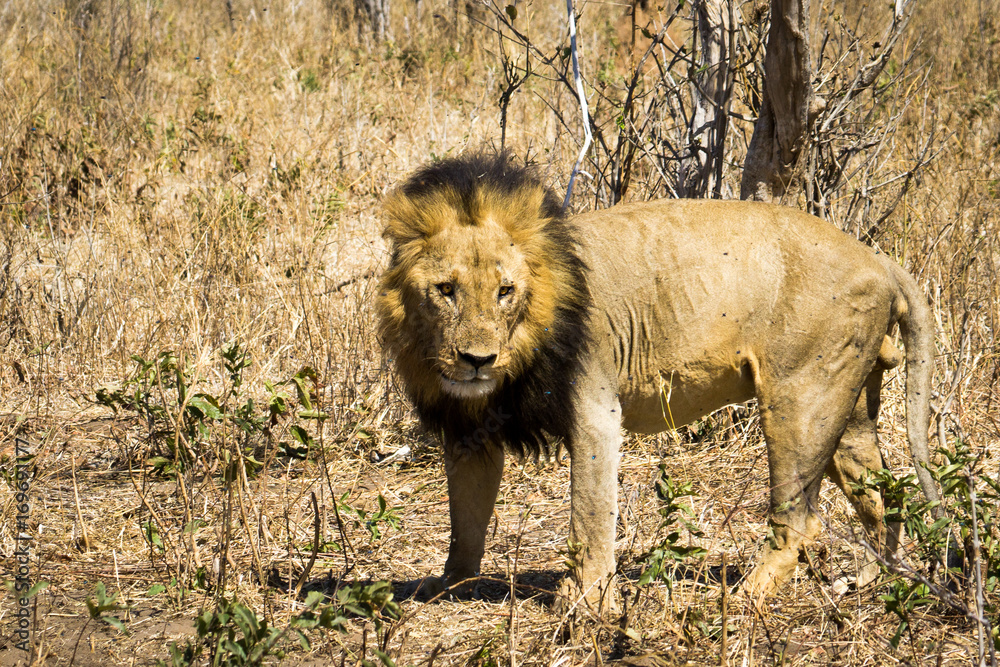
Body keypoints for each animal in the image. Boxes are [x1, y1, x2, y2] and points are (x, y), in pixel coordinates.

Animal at [376, 151, 940, 609]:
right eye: (445, 290)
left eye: (505, 291)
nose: (477, 359)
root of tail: (879, 259)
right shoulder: (467, 429)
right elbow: (464, 520)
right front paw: (448, 584)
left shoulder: (596, 410)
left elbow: (589, 515)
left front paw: (588, 603)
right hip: (847, 406)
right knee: (885, 497)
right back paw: (872, 581)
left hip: (799, 400)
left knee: (800, 520)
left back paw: (742, 601)